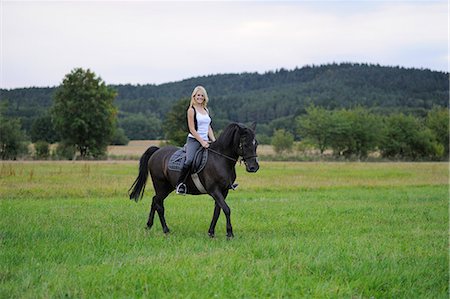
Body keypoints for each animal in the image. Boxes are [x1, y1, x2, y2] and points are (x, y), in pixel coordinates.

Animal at [128, 123, 258, 238]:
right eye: (245, 144)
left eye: (256, 144)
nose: (254, 167)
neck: (220, 159)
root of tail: (157, 151)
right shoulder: (214, 190)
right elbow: (226, 209)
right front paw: (230, 233)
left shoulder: (224, 191)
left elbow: (217, 211)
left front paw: (211, 232)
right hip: (160, 185)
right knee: (159, 204)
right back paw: (166, 230)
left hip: (167, 187)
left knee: (155, 201)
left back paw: (148, 226)